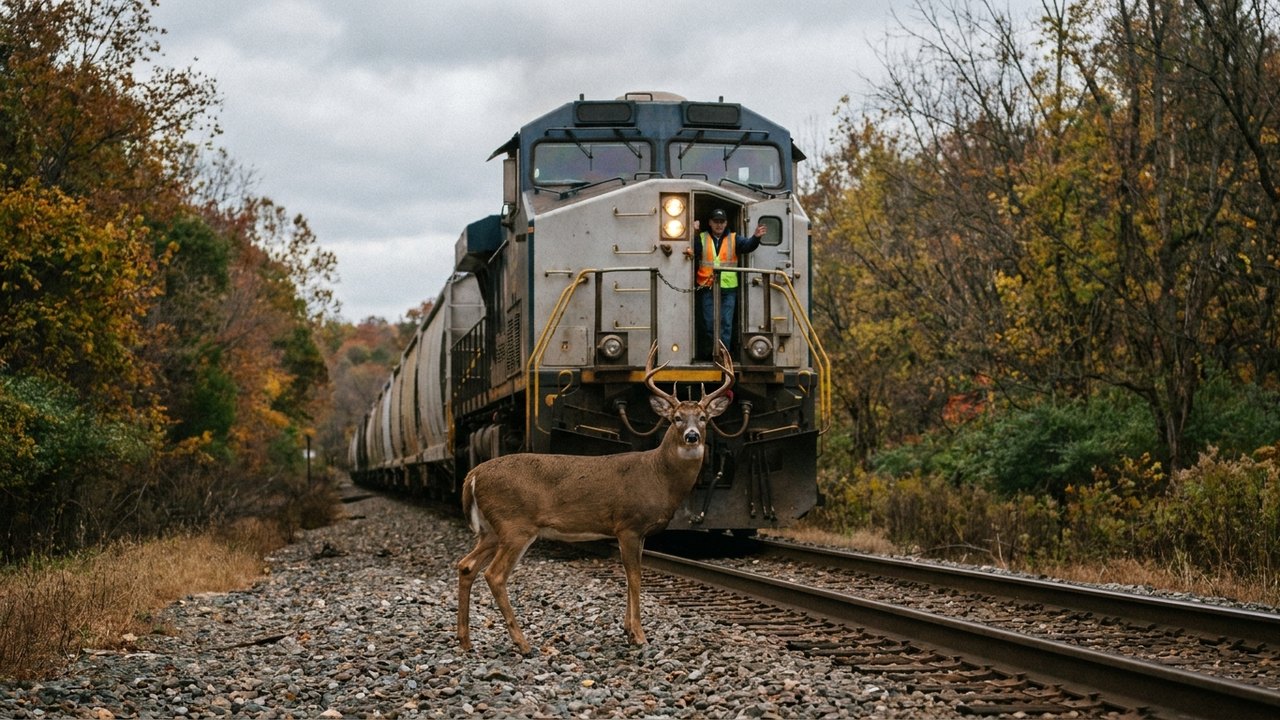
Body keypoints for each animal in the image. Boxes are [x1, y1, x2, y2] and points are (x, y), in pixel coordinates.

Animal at [456, 340, 735, 654]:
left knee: (466, 566)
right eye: (676, 418)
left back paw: (466, 641)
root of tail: (473, 474)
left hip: (492, 530)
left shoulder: (640, 532)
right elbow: (635, 577)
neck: (658, 475)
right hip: (515, 524)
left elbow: (631, 576)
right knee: (494, 574)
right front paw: (639, 635)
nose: (691, 436)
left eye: (703, 418)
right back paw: (522, 642)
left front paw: (628, 630)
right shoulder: (628, 524)